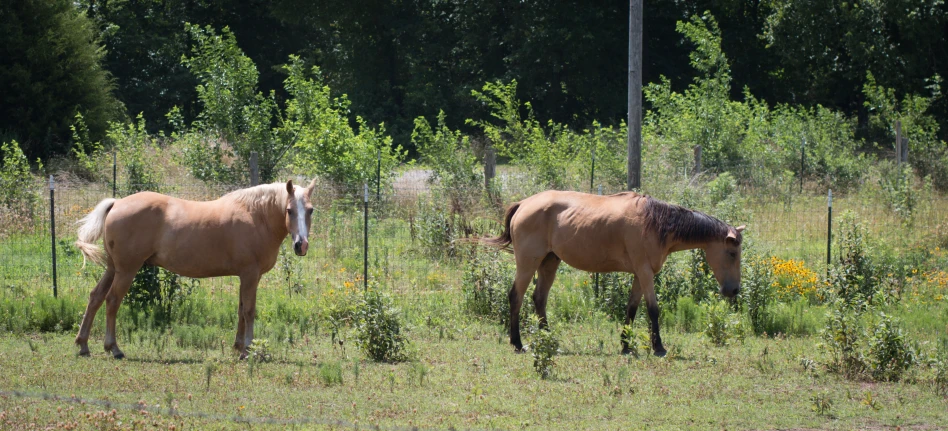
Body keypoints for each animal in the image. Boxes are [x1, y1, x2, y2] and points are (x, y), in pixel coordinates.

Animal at [74, 180, 316, 362]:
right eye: (289, 210)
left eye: (310, 210)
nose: (301, 245)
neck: (255, 215)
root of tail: (116, 203)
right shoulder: (250, 275)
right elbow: (249, 311)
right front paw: (248, 350)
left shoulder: (245, 277)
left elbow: (240, 310)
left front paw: (238, 347)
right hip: (126, 270)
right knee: (112, 300)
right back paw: (113, 348)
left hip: (113, 268)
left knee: (95, 297)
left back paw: (83, 344)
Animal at [486, 192, 744, 358]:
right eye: (732, 253)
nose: (734, 290)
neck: (656, 223)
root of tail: (524, 204)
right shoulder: (645, 272)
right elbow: (653, 309)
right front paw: (658, 347)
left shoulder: (640, 274)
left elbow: (631, 309)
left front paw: (626, 345)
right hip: (528, 263)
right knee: (516, 297)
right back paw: (517, 343)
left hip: (549, 262)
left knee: (539, 299)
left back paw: (550, 341)